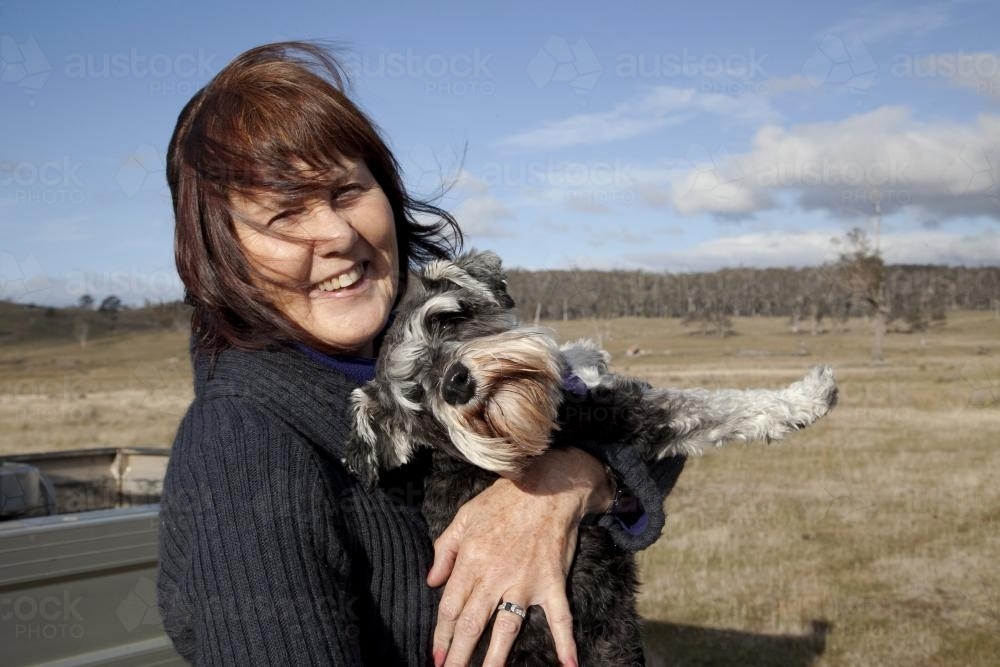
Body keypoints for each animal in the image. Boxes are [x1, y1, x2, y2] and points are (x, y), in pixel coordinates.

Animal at [348, 252, 840, 667]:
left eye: (447, 319)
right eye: (415, 397)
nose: (455, 383)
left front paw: (584, 353)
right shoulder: (627, 420)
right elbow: (718, 406)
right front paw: (807, 398)